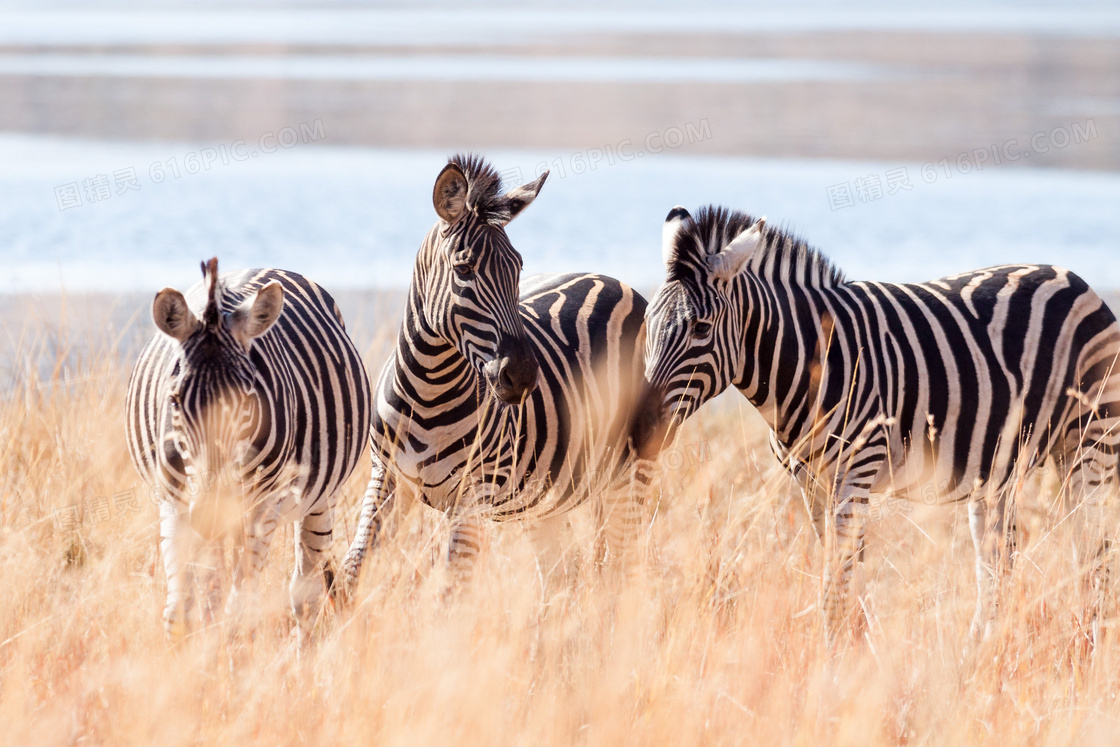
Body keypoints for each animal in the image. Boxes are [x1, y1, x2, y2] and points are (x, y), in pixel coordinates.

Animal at [126, 258, 371, 636]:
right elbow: (182, 610)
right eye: (175, 400)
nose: (210, 512)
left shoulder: (262, 508)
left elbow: (239, 609)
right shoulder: (174, 501)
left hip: (320, 500)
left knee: (304, 594)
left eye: (247, 401)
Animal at [344, 156, 654, 591]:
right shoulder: (385, 478)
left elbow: (452, 587)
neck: (427, 388)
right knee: (562, 574)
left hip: (633, 468)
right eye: (464, 269)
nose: (522, 376)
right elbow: (351, 569)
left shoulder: (474, 494)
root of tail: (613, 280)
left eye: (518, 268)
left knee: (624, 563)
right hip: (544, 499)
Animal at [631, 204, 1120, 645]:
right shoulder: (811, 483)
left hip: (1090, 444)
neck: (814, 361)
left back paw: (1089, 645)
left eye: (701, 327)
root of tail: (1074, 277)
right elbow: (839, 573)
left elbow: (838, 582)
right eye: (648, 322)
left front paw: (831, 661)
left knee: (1093, 552)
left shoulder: (856, 472)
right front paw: (851, 650)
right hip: (999, 470)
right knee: (999, 562)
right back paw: (981, 653)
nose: (640, 427)